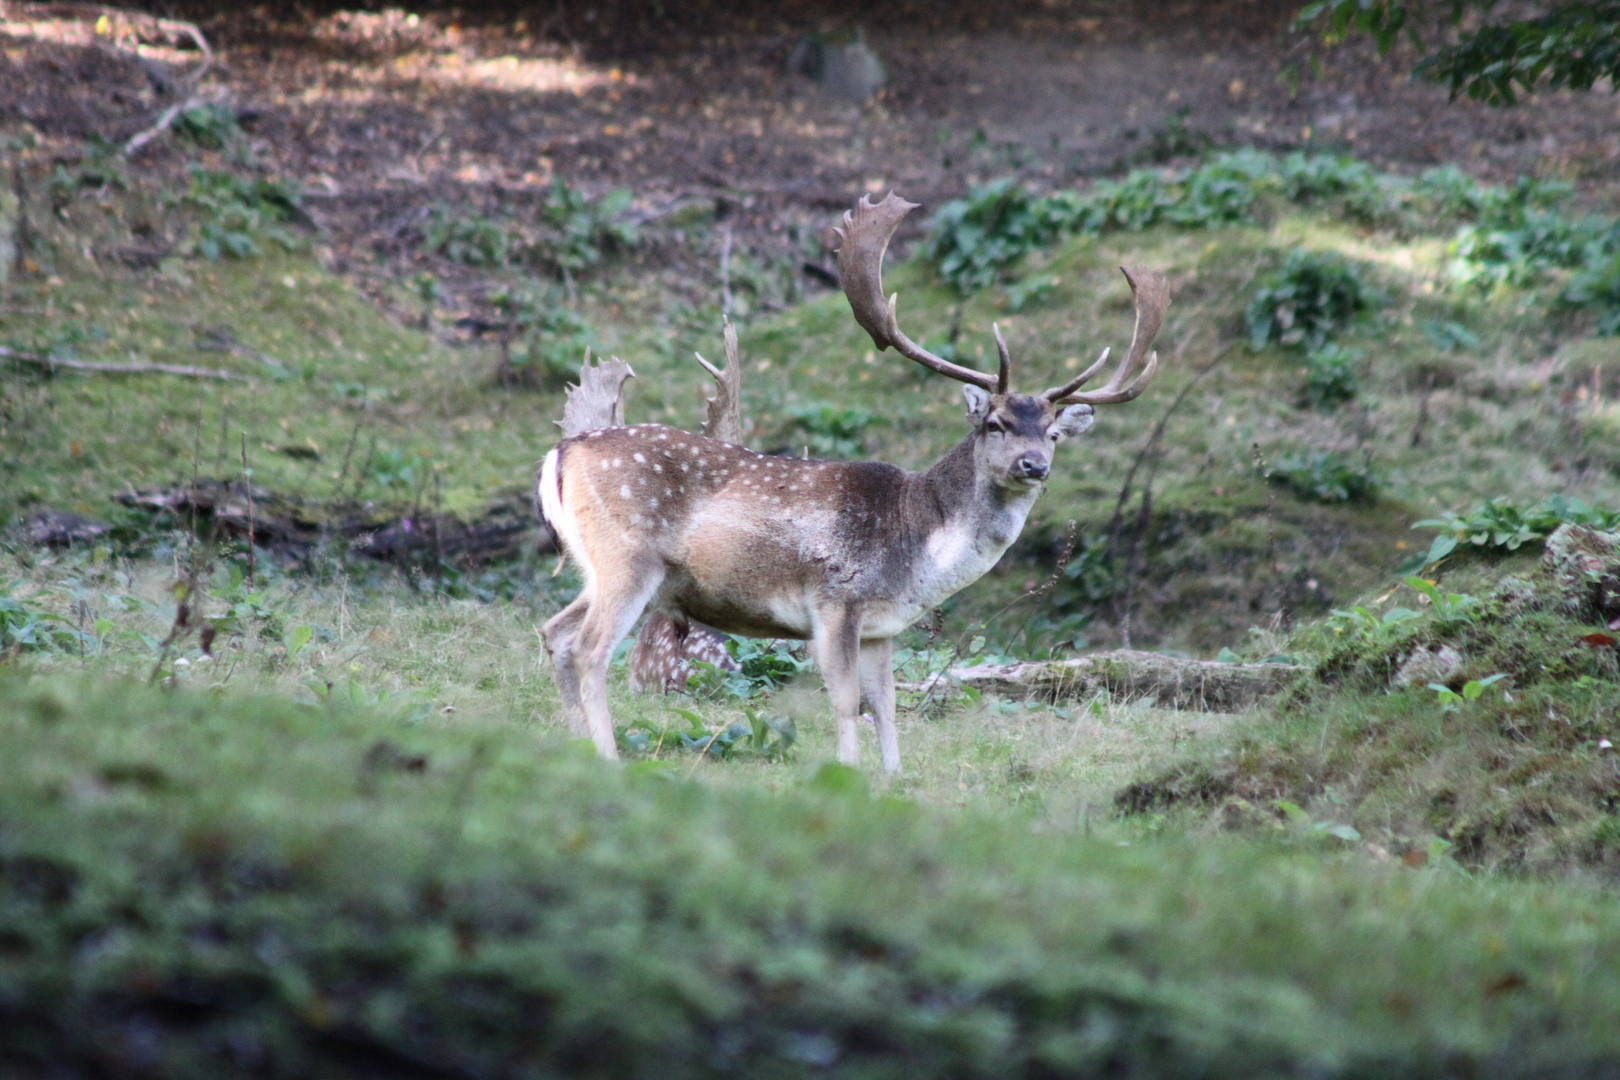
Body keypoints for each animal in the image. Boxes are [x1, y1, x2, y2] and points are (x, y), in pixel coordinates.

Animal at [541, 191, 1166, 767]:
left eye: (1054, 434)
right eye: (995, 423)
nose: (1033, 464)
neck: (916, 547)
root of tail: (561, 453)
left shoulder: (882, 626)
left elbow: (885, 706)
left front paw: (891, 781)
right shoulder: (835, 600)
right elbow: (845, 703)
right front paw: (850, 774)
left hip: (600, 568)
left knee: (555, 633)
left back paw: (573, 747)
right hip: (629, 556)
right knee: (590, 649)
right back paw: (607, 757)